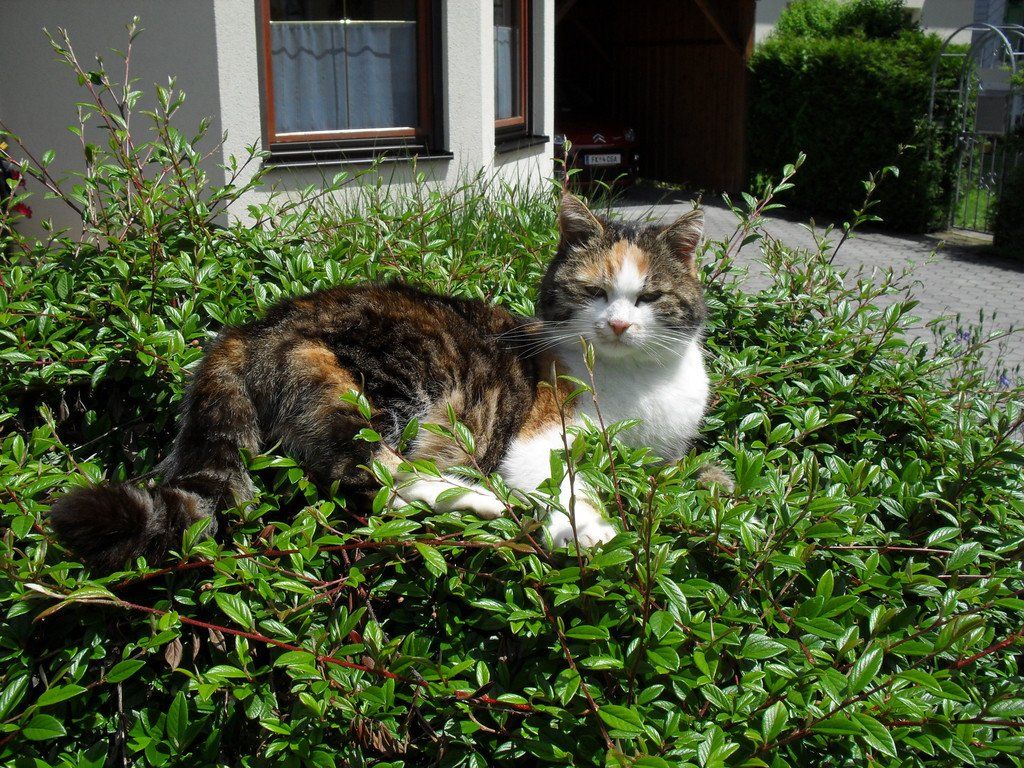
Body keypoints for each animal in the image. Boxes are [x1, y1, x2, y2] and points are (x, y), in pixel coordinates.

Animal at [49, 193, 711, 572]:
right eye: (593, 291)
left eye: (649, 298)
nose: (618, 324)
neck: (636, 385)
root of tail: (247, 326)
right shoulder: (541, 433)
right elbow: (563, 480)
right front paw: (591, 530)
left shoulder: (665, 458)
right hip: (375, 384)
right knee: (374, 476)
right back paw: (483, 500)